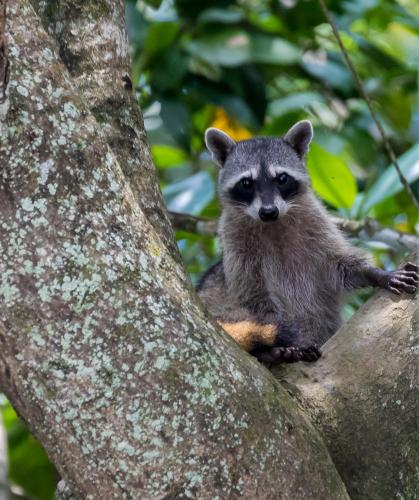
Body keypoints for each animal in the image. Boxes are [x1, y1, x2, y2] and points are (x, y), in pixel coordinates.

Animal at [198, 121, 419, 364]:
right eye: (246, 183)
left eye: (282, 178)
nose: (268, 211)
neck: (273, 224)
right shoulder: (236, 246)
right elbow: (254, 297)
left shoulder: (317, 225)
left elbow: (341, 264)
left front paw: (376, 274)